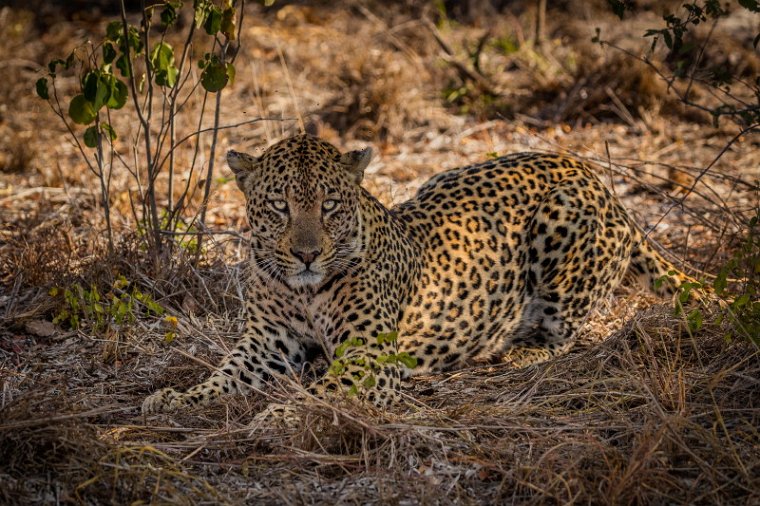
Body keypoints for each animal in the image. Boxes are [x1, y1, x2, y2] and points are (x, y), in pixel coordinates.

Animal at [140, 133, 692, 416]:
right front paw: (176, 399)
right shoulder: (267, 343)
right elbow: (223, 376)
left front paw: (279, 414)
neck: (304, 292)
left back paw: (514, 353)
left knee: (566, 335)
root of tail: (594, 176)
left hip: (563, 225)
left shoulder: (369, 360)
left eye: (329, 205)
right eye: (280, 206)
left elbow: (317, 395)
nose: (306, 255)